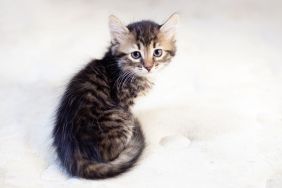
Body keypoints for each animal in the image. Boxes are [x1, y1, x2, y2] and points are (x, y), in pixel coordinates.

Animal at [53, 13, 178, 179]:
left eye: (157, 52)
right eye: (135, 54)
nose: (148, 67)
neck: (118, 65)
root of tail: (75, 154)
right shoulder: (126, 105)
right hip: (119, 117)